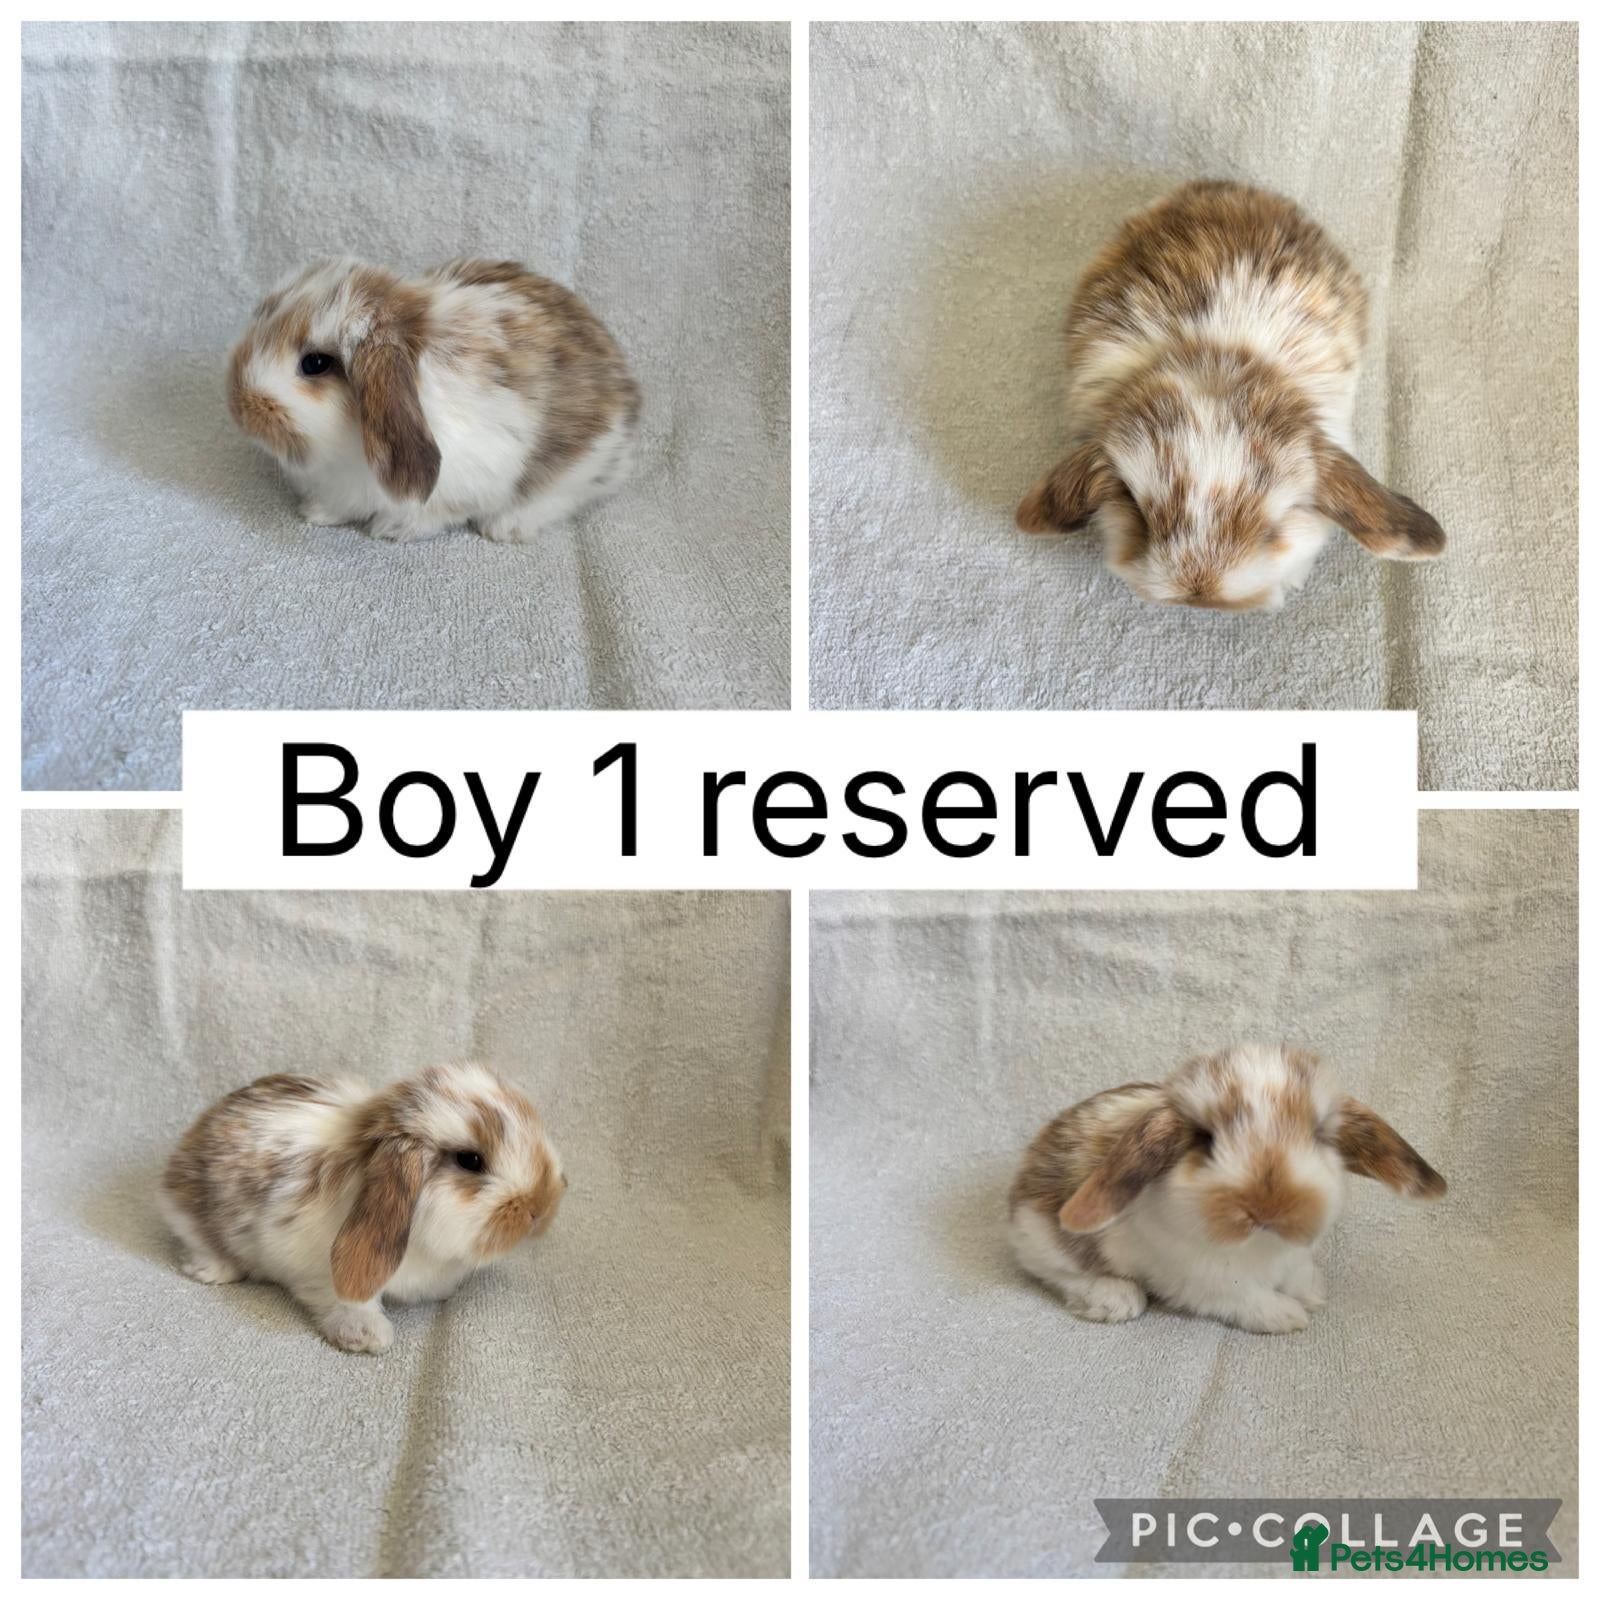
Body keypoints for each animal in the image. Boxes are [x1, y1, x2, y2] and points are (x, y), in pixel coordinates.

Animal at [159, 1062, 566, 1353]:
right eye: (470, 1160)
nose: (541, 1208)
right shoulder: (317, 1271)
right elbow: (349, 1303)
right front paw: (367, 1338)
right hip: (187, 1212)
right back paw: (214, 1270)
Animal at [227, 257, 640, 543]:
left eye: (315, 363)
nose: (238, 408)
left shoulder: (474, 474)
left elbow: (435, 514)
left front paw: (391, 528)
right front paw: (315, 512)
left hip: (582, 464)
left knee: (563, 496)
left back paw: (506, 527)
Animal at [1008, 1045, 1445, 1334]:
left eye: (1320, 1134)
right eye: (1204, 1138)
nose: (1268, 1208)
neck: (1262, 1247)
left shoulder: (1292, 1257)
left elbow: (1298, 1273)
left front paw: (1313, 1293)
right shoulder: (1204, 1281)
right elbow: (1249, 1300)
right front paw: (1288, 1316)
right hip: (1043, 1238)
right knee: (1056, 1274)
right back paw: (1115, 1298)